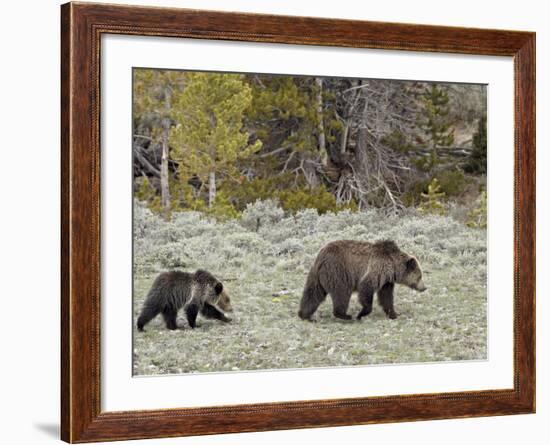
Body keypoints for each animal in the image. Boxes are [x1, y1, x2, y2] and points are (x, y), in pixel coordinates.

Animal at [300, 241, 430, 320]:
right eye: (420, 276)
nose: (424, 287)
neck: (392, 267)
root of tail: (321, 256)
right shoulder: (377, 269)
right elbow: (366, 288)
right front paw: (361, 314)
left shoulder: (386, 281)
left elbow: (386, 297)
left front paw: (393, 314)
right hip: (338, 271)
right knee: (342, 293)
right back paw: (345, 315)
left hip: (317, 275)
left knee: (313, 293)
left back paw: (305, 315)